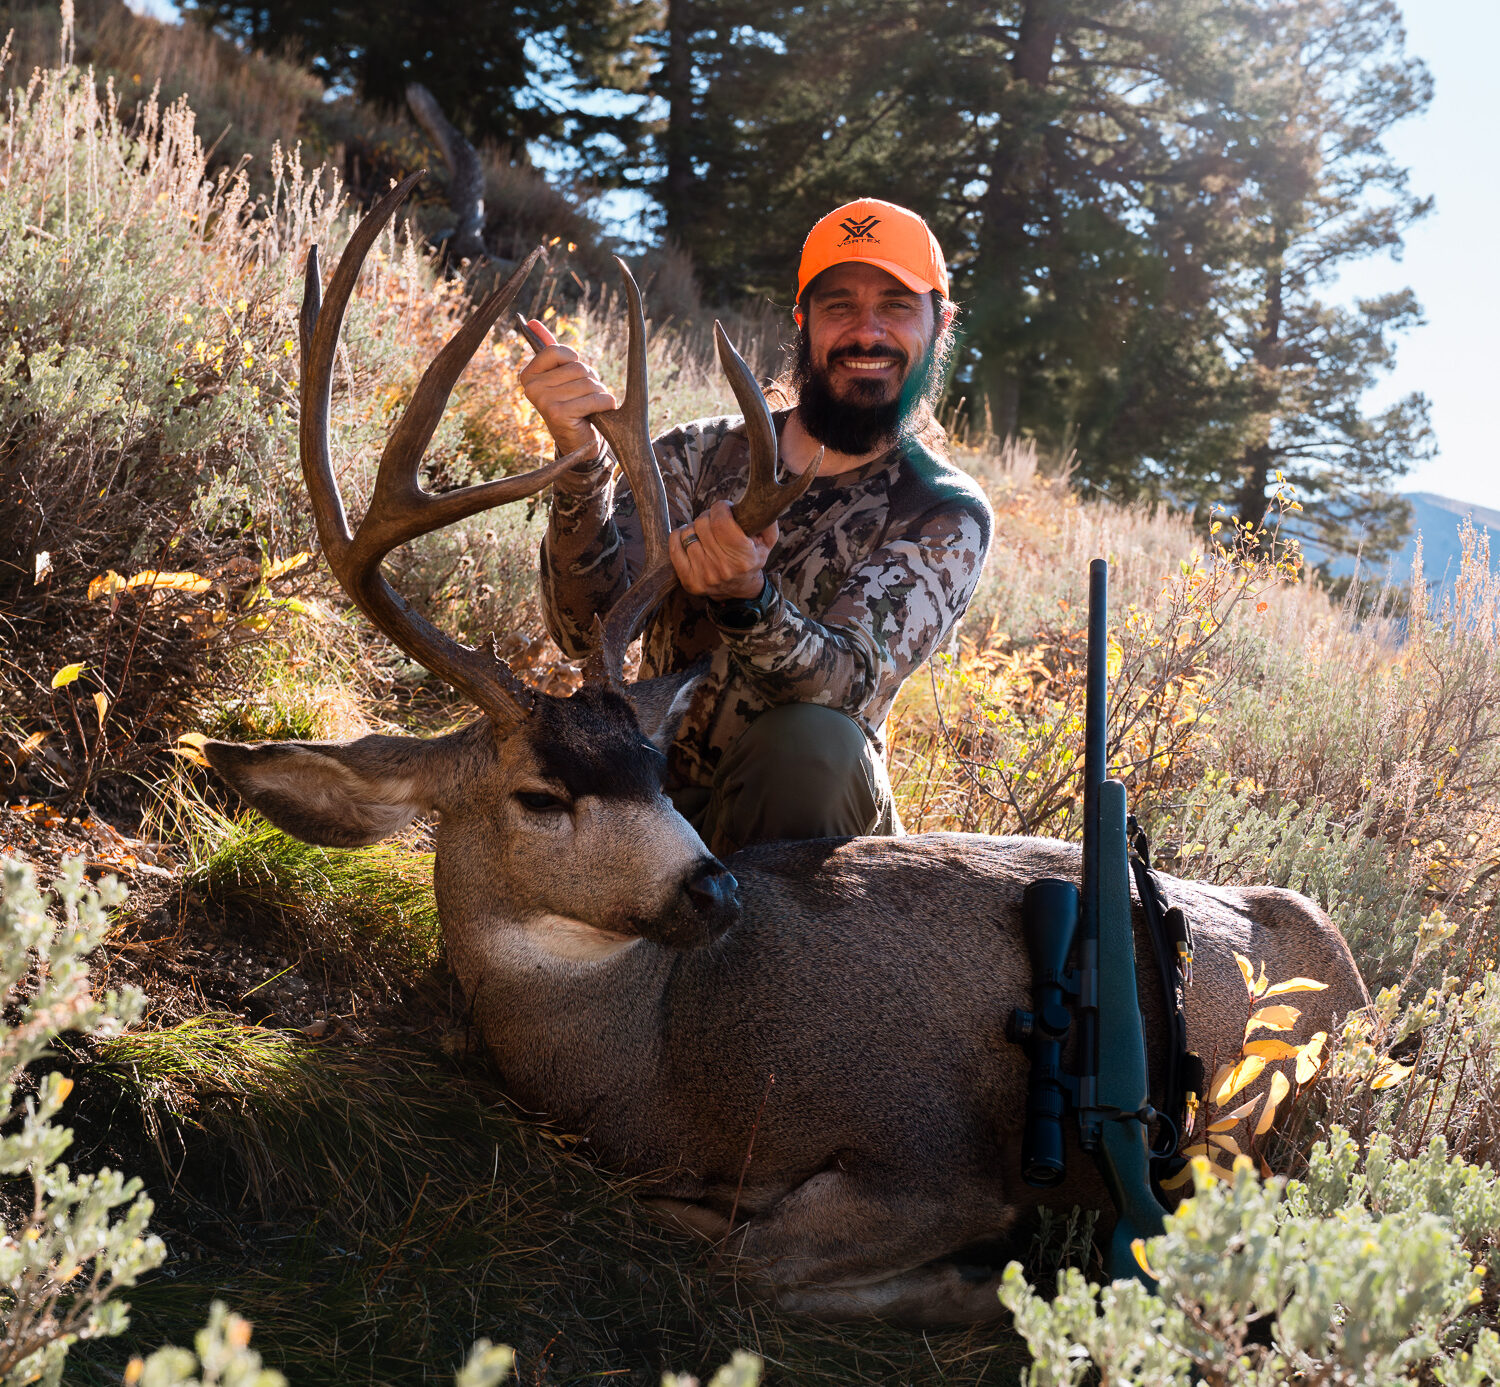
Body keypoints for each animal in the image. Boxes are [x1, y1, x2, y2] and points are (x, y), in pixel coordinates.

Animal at [203, 175, 1371, 1327]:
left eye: (654, 771)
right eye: (540, 793)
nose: (713, 887)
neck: (668, 1061)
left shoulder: (934, 1159)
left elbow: (751, 1256)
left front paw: (978, 1283)